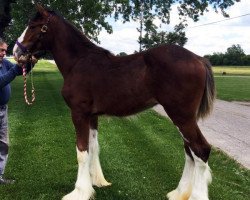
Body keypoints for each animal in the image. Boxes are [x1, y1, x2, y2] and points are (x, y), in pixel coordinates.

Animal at [12, 4, 215, 200]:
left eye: (33, 26)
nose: (15, 51)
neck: (78, 62)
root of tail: (198, 59)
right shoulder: (92, 116)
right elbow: (93, 147)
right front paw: (96, 182)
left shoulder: (78, 113)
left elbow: (81, 152)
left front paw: (79, 192)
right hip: (183, 118)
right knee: (189, 152)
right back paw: (179, 193)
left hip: (181, 116)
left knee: (200, 150)